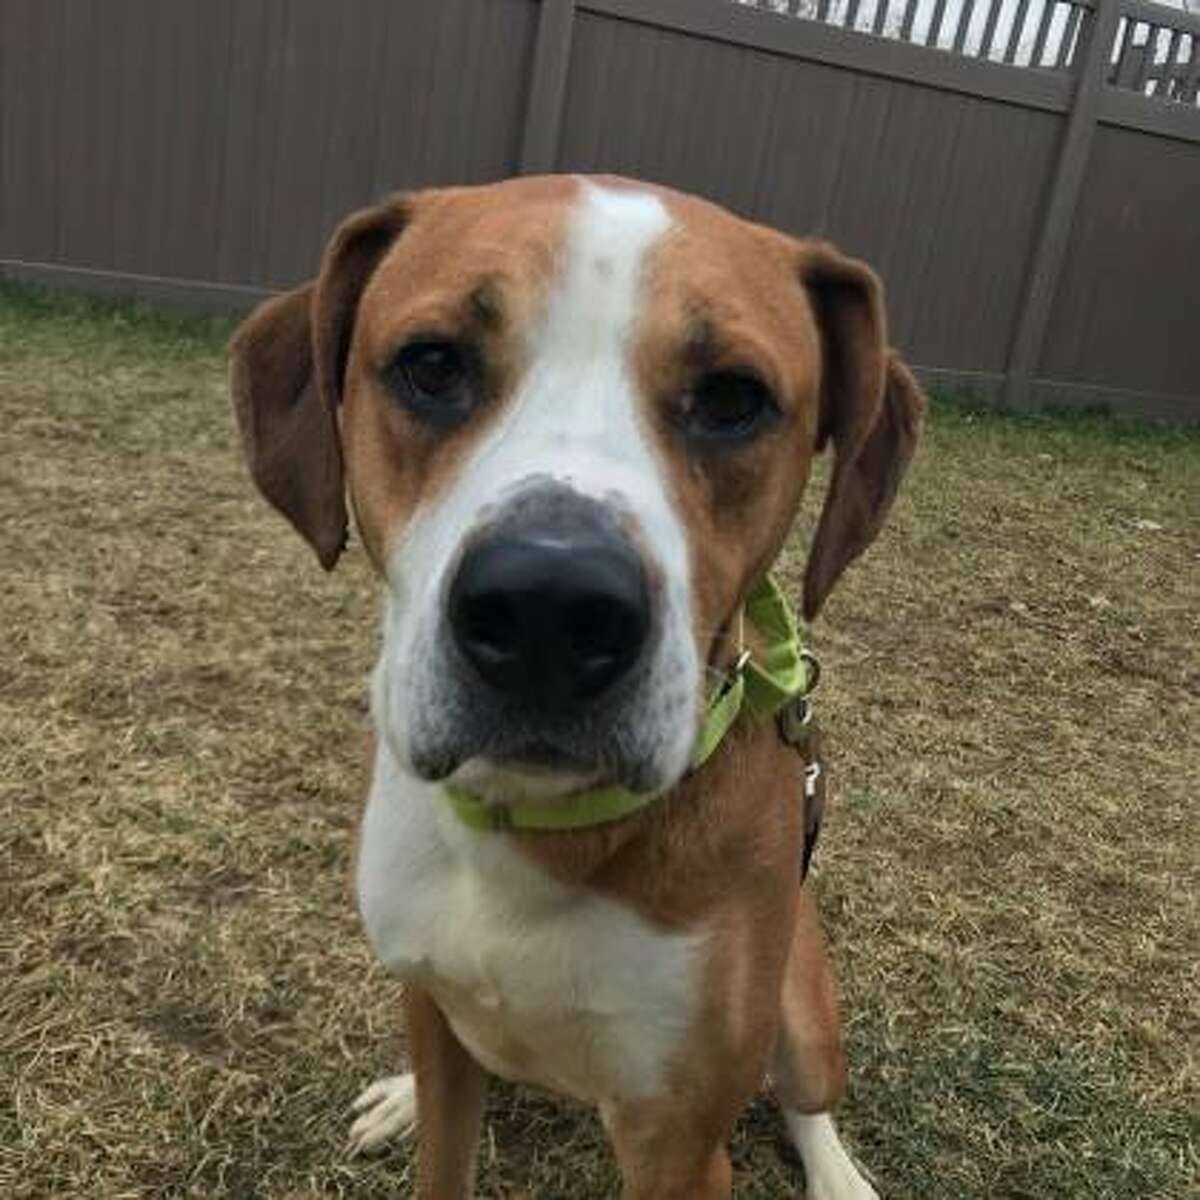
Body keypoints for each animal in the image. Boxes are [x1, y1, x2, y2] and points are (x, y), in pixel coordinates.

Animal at [229, 174, 921, 1195]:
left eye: (733, 398)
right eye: (432, 366)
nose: (547, 610)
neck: (530, 831)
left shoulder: (679, 1145)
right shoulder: (435, 1010)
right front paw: (409, 1104)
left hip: (799, 1011)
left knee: (806, 1097)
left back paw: (837, 1175)